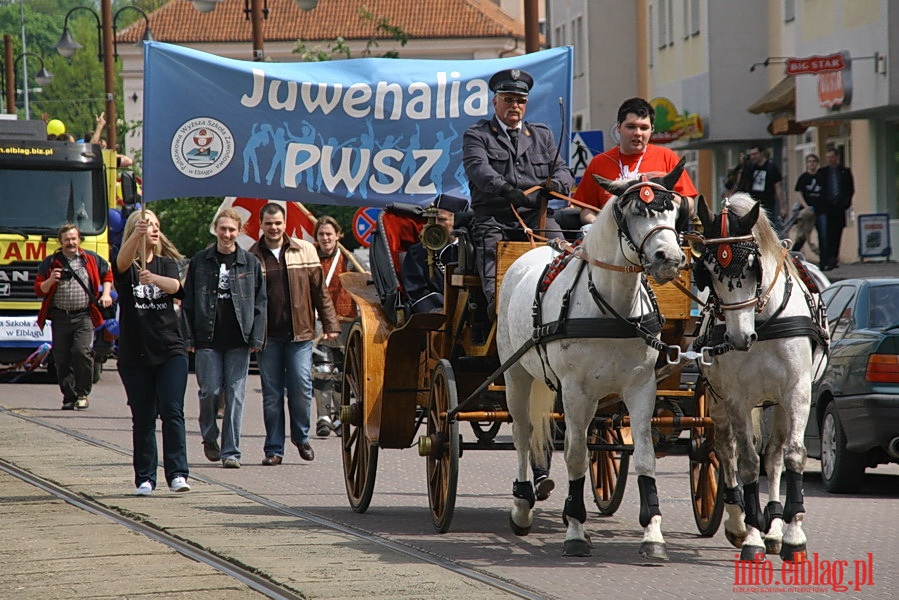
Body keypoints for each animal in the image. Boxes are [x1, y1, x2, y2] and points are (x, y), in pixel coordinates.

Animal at [500, 159, 688, 556]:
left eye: (674, 211)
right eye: (636, 212)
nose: (670, 259)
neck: (612, 308)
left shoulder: (641, 387)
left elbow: (643, 455)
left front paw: (652, 533)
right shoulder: (576, 390)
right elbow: (574, 455)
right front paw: (574, 530)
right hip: (516, 374)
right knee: (523, 432)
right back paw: (522, 505)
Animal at [692, 193, 828, 564]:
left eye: (753, 268)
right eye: (709, 272)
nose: (739, 339)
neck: (763, 322)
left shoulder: (797, 392)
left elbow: (792, 455)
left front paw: (793, 534)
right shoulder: (736, 398)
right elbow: (748, 463)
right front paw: (752, 536)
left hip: (777, 403)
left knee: (775, 454)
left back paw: (776, 527)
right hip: (717, 401)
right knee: (724, 451)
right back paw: (738, 521)